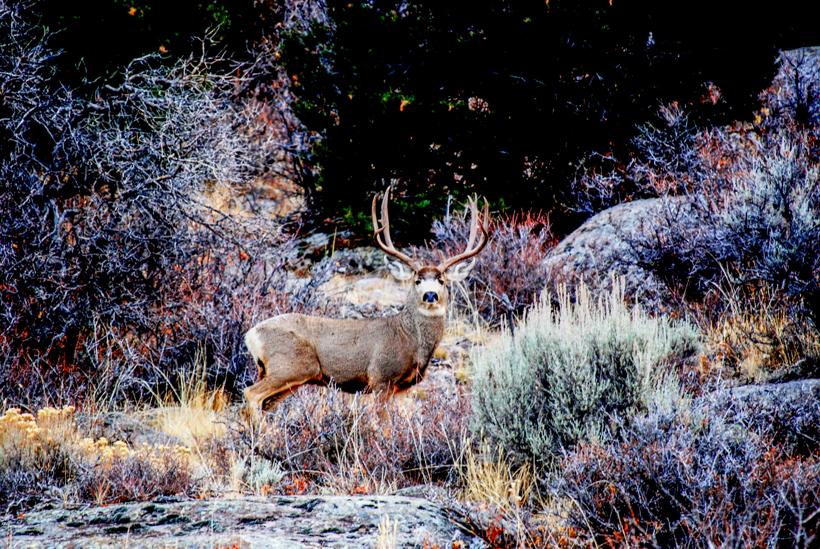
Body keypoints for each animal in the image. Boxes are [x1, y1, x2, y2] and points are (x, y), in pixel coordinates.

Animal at [243, 186, 490, 412]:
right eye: (417, 280)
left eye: (442, 281)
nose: (430, 295)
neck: (411, 340)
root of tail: (251, 335)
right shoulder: (381, 377)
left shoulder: (403, 388)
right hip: (291, 366)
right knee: (251, 394)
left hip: (283, 375)